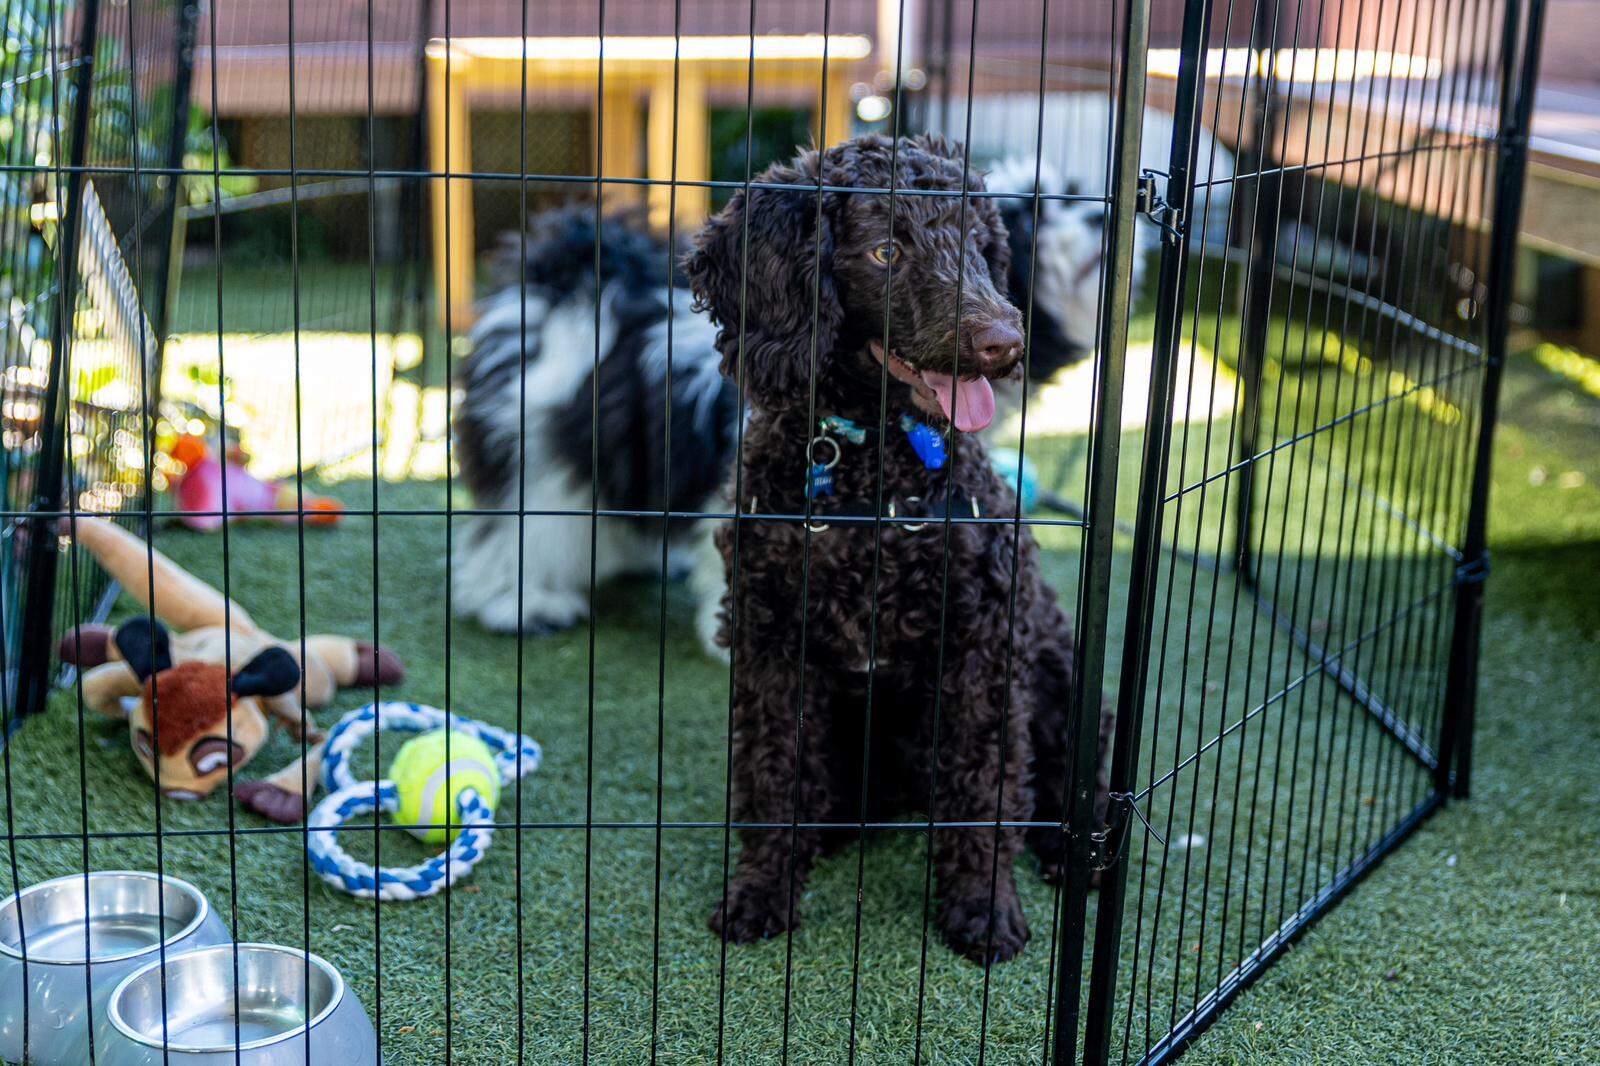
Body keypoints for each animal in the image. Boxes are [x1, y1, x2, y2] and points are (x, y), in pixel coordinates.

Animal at [683, 133, 1109, 963]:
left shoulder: (981, 647)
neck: (871, 471)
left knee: (1066, 787)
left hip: (1067, 677)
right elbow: (774, 774)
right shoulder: (771, 643)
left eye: (978, 248)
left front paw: (983, 909)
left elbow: (984, 790)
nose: (1005, 342)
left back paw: (1067, 852)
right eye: (887, 250)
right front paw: (762, 890)